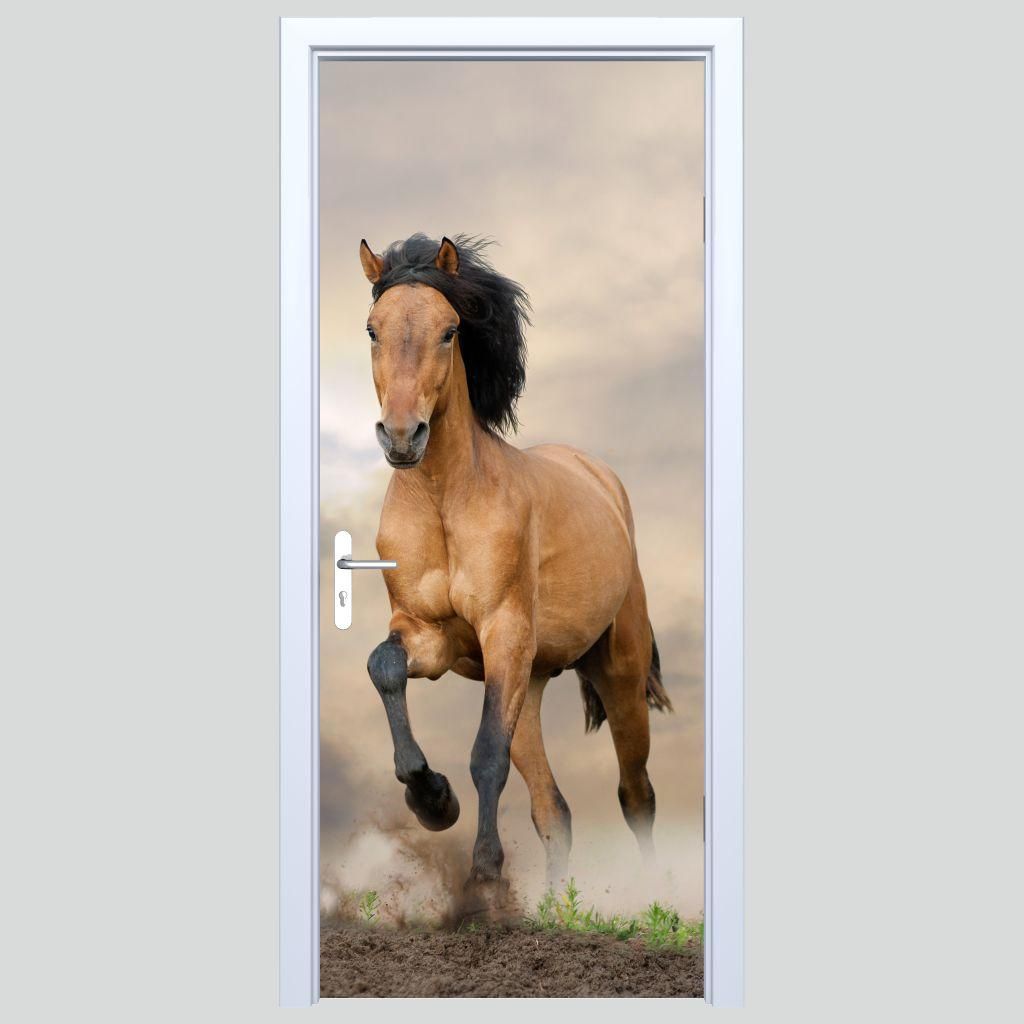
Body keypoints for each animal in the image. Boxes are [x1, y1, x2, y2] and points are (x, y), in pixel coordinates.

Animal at [358, 233, 672, 897]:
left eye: (450, 330)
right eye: (373, 329)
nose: (401, 436)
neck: (445, 502)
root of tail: (601, 478)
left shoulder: (503, 631)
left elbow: (485, 757)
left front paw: (484, 873)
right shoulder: (430, 638)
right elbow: (384, 667)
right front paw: (432, 799)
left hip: (618, 674)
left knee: (636, 795)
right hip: (529, 684)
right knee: (555, 811)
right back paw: (554, 908)